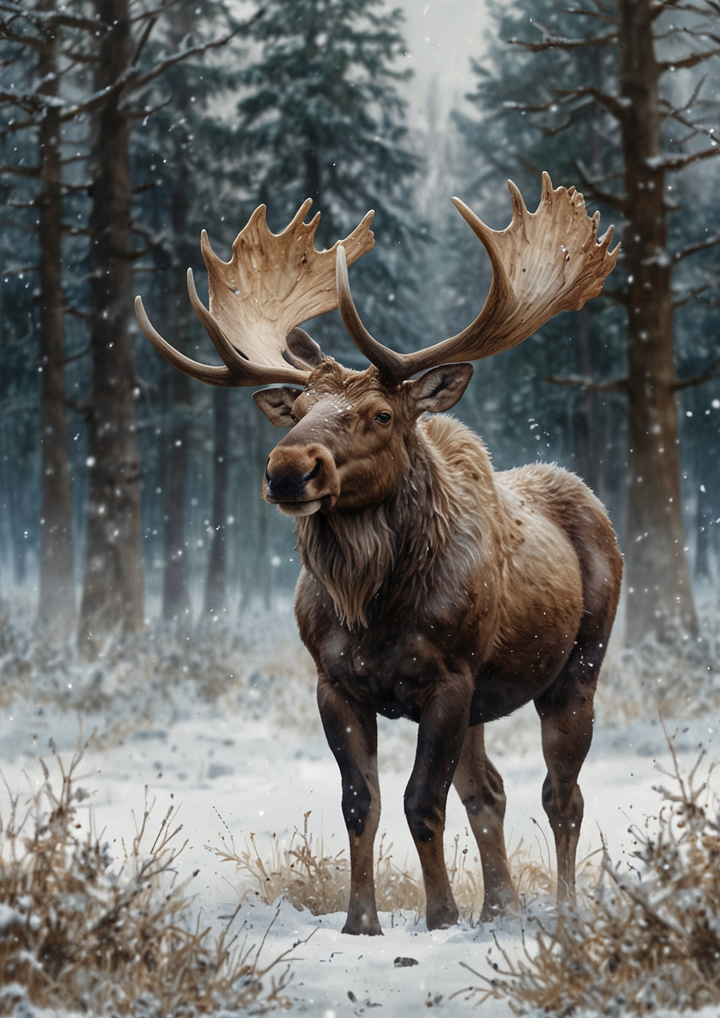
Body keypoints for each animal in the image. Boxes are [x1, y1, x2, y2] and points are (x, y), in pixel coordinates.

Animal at [135, 173, 623, 935]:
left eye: (382, 414)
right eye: (297, 408)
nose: (288, 469)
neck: (374, 607)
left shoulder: (449, 679)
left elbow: (421, 801)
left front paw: (441, 916)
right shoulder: (334, 683)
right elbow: (360, 801)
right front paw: (360, 921)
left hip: (577, 667)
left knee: (560, 793)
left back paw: (564, 912)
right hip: (488, 698)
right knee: (491, 789)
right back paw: (501, 907)